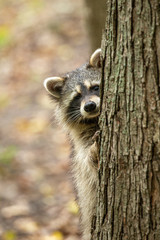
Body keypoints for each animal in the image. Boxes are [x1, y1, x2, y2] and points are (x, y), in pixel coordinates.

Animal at [43, 48, 101, 240]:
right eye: (77, 97)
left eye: (95, 87)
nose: (89, 106)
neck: (94, 119)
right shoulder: (82, 143)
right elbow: (86, 162)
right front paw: (93, 152)